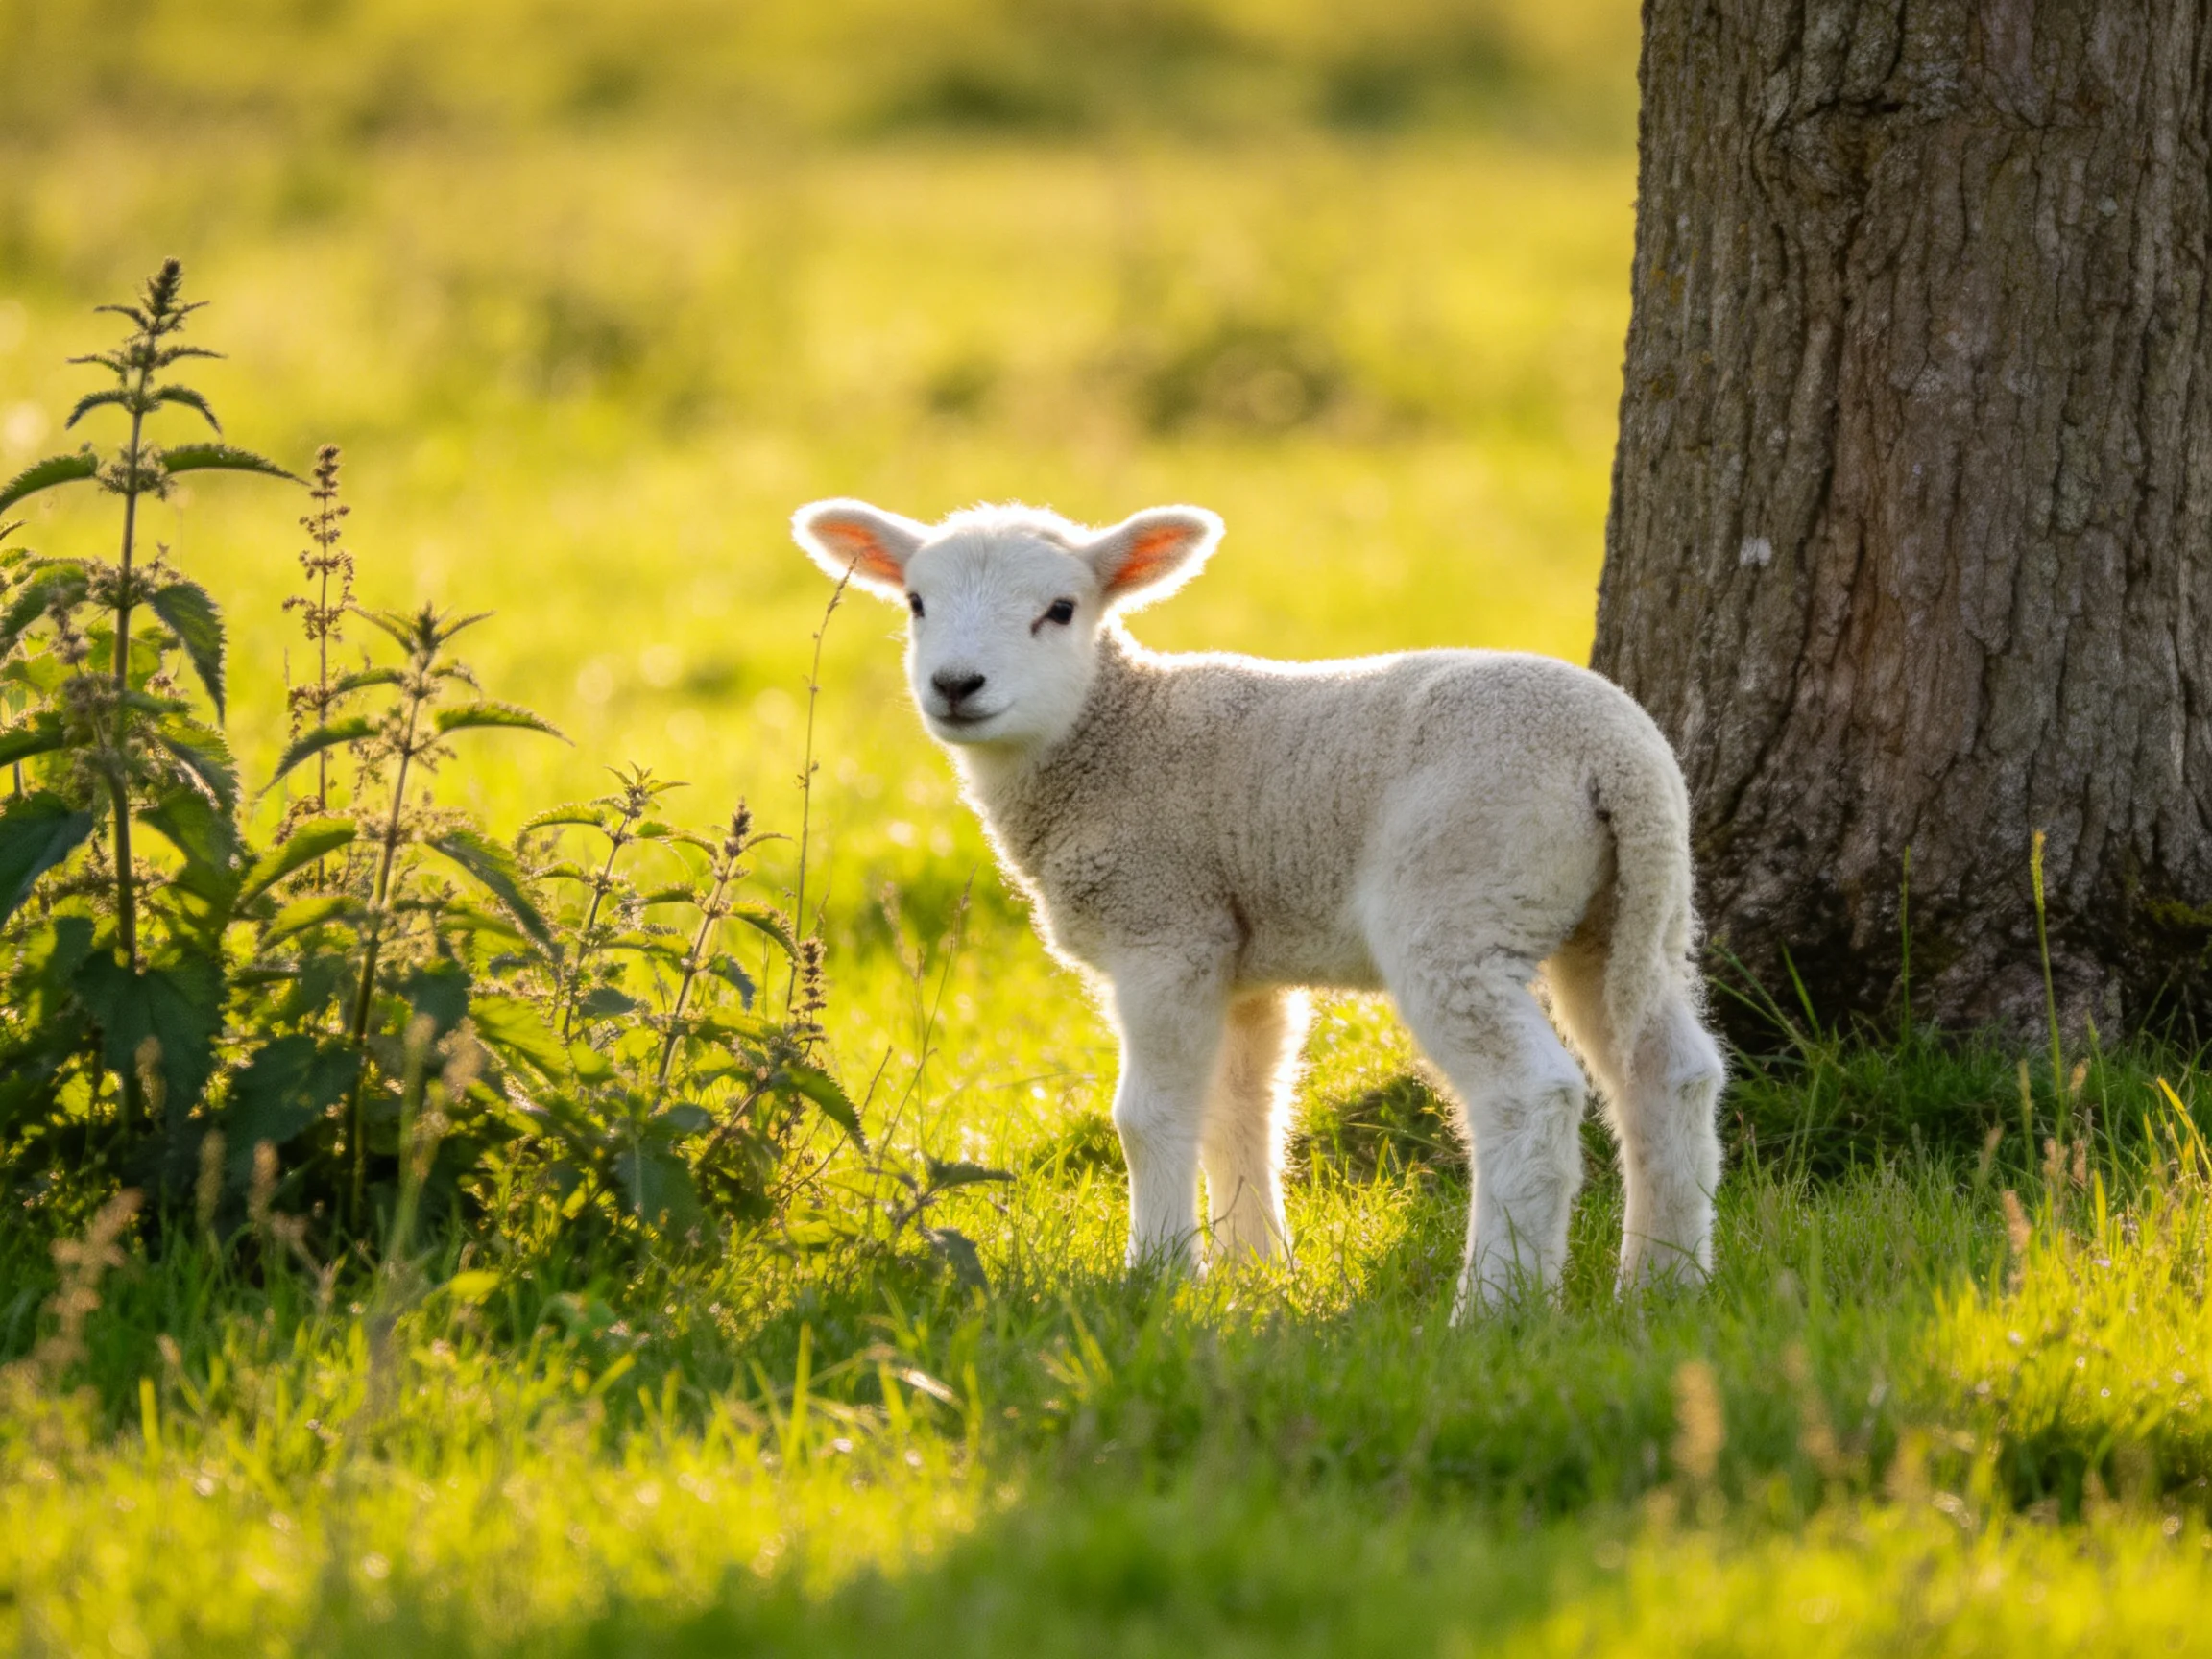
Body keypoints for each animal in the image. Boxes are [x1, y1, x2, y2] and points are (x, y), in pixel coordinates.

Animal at [791, 497, 1726, 1314]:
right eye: (916, 602)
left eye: (1060, 609)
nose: (956, 685)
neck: (1114, 734)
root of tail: (1614, 756)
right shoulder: (1242, 958)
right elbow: (1243, 1109)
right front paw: (1256, 1272)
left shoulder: (1165, 926)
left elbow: (1152, 1116)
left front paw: (1159, 1276)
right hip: (1628, 914)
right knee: (1673, 1073)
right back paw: (1664, 1286)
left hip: (1463, 901)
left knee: (1531, 1097)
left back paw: (1496, 1307)